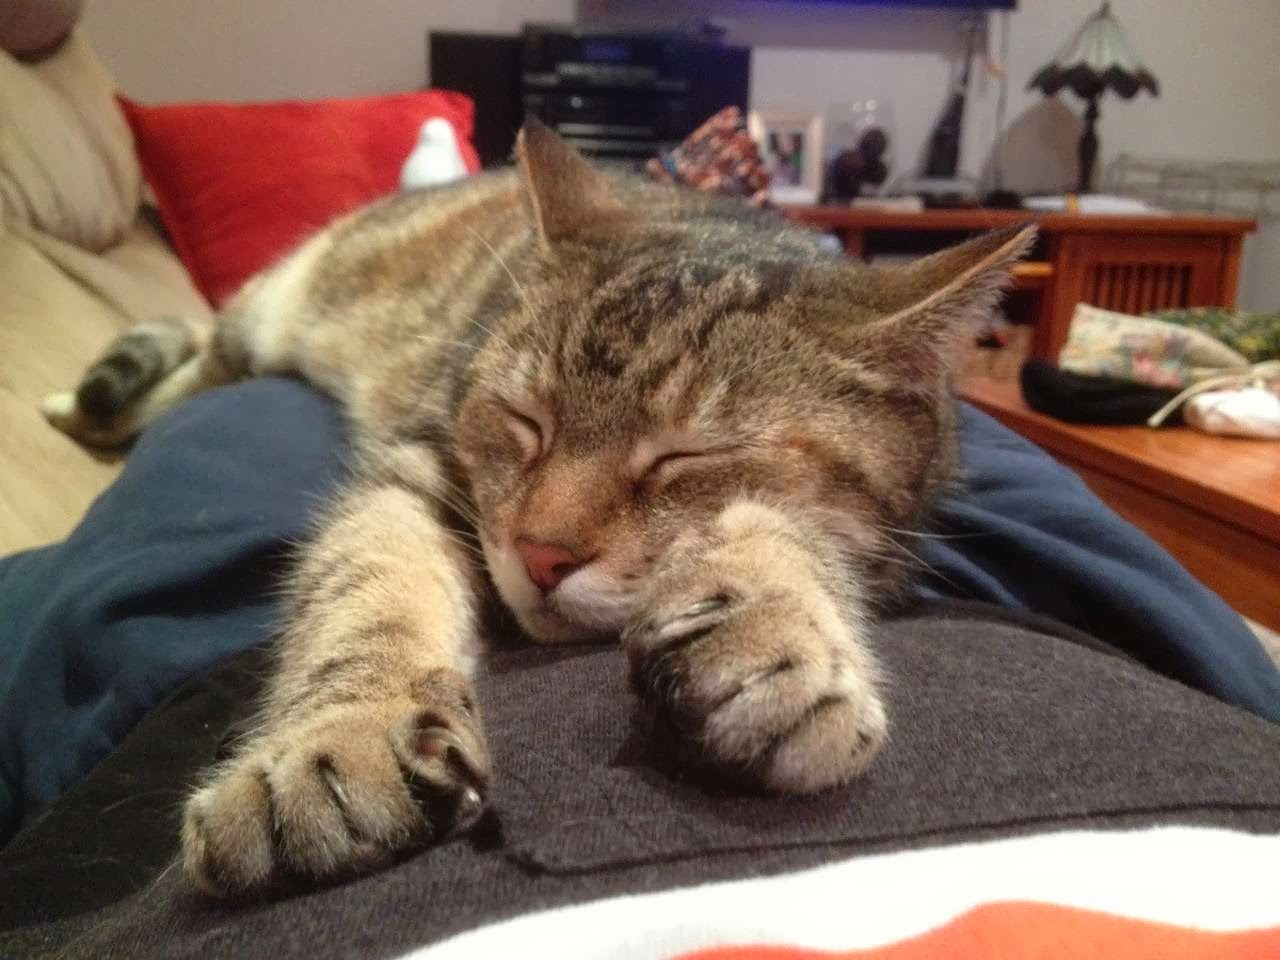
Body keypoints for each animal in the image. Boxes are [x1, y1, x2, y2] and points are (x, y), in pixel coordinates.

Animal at [43, 120, 1034, 898]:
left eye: (686, 456)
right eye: (525, 420)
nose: (541, 553)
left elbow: (784, 529)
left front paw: (768, 623)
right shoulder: (420, 471)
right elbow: (367, 592)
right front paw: (336, 740)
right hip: (265, 318)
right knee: (198, 358)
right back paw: (89, 405)